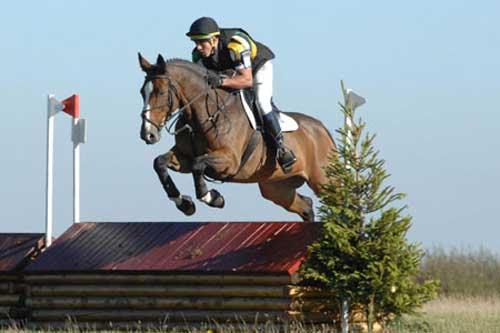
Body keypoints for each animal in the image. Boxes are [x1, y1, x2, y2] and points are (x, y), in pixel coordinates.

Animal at [138, 53, 336, 220]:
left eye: (161, 93)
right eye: (142, 92)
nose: (147, 134)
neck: (203, 115)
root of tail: (322, 129)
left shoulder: (230, 160)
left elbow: (198, 165)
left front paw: (213, 198)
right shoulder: (183, 157)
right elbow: (160, 162)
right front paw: (185, 204)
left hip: (322, 180)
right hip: (276, 187)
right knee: (306, 206)